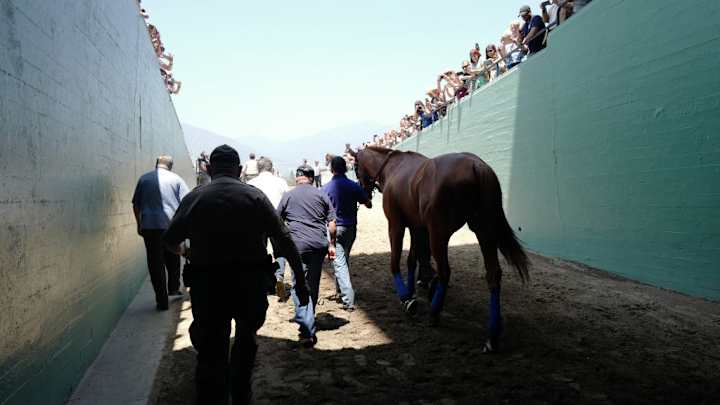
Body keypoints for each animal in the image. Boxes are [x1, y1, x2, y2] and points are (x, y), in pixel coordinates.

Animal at [352, 145, 528, 350]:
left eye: (355, 168)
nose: (365, 198)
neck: (393, 167)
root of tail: (476, 166)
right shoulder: (417, 227)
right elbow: (412, 260)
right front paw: (412, 290)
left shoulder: (396, 225)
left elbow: (395, 262)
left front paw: (406, 297)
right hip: (484, 231)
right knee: (493, 274)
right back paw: (492, 334)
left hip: (438, 233)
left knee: (445, 271)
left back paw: (435, 311)